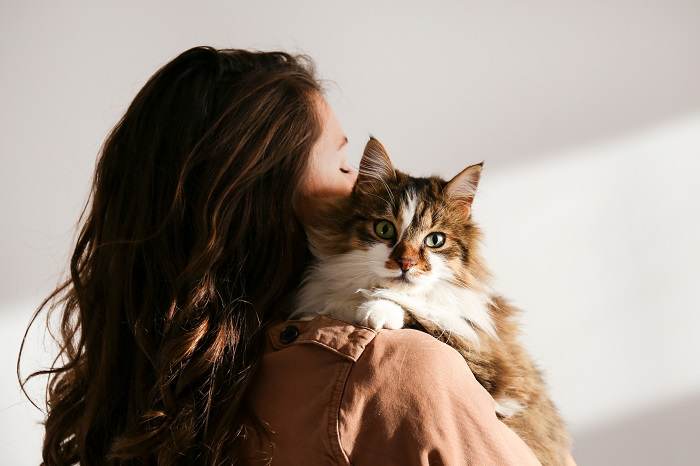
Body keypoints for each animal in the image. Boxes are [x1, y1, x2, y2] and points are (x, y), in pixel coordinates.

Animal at [288, 136, 568, 466]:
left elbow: (424, 313)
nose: (405, 263)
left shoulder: (491, 367)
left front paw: (376, 309)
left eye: (435, 240)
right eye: (384, 229)